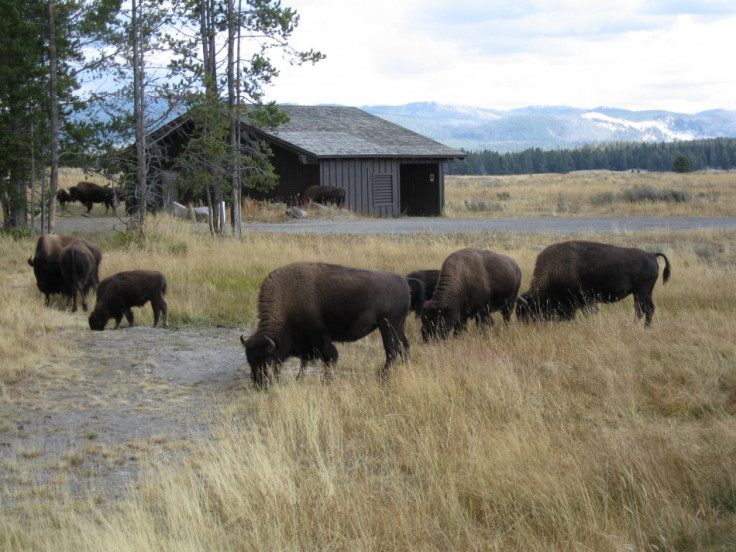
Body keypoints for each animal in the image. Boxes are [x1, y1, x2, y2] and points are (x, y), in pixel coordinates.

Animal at [242, 262, 414, 388]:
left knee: (391, 350)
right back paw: (406, 368)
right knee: (404, 346)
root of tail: (404, 281)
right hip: (399, 325)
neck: (287, 300)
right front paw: (300, 379)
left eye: (268, 361)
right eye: (249, 360)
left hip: (387, 325)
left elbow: (329, 358)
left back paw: (383, 378)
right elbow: (305, 361)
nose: (260, 385)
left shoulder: (320, 338)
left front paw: (326, 381)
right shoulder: (306, 344)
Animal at [516, 239, 668, 326]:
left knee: (644, 310)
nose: (523, 324)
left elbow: (589, 313)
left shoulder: (584, 300)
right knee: (644, 309)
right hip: (640, 293)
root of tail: (651, 255)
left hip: (642, 292)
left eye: (527, 310)